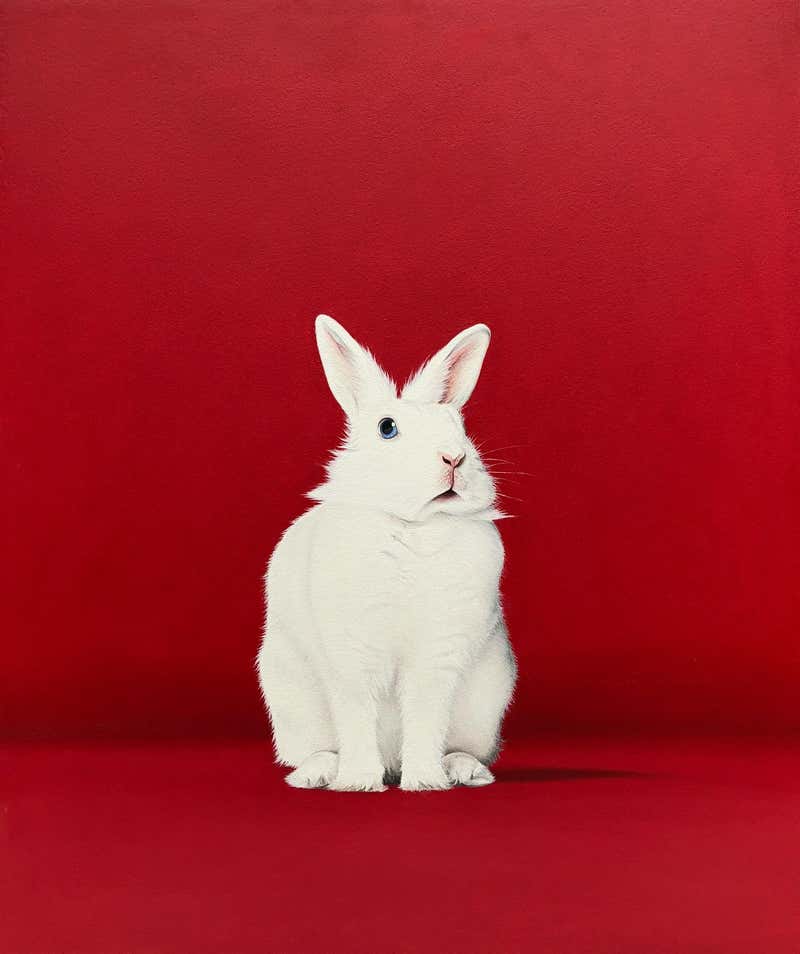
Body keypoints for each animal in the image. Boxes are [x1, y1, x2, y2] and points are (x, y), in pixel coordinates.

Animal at [257, 315, 517, 791]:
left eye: (460, 428)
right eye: (387, 428)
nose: (454, 458)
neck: (413, 525)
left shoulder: (437, 655)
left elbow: (426, 715)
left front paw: (425, 781)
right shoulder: (351, 652)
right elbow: (358, 714)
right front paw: (359, 781)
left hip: (485, 707)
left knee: (462, 745)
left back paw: (463, 770)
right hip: (290, 705)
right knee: (317, 747)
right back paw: (318, 773)